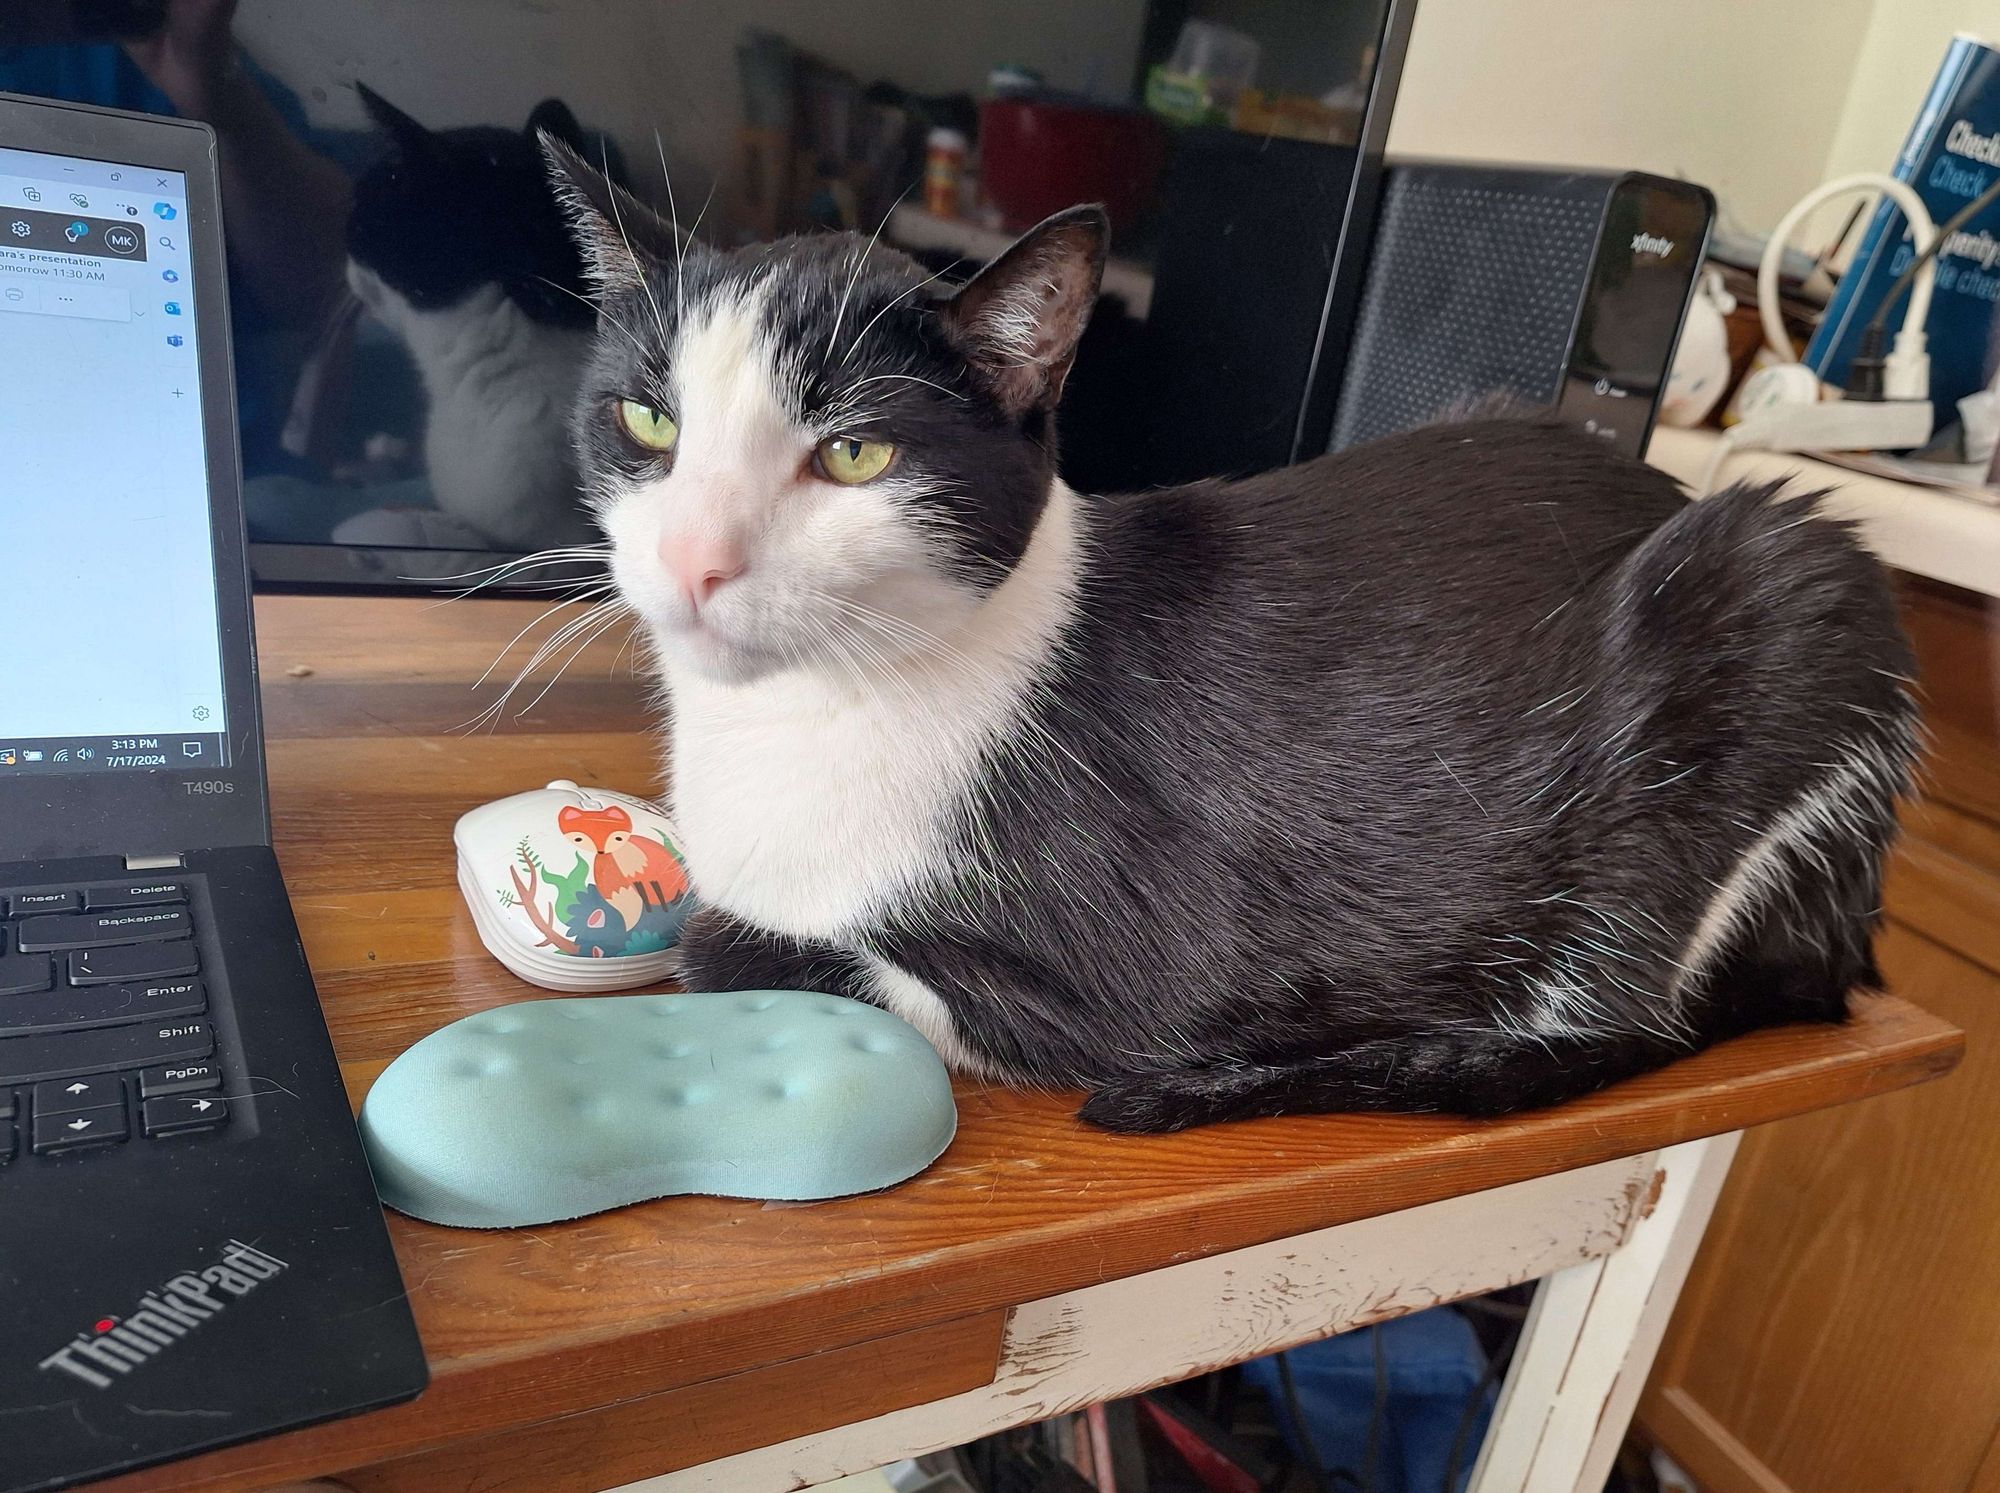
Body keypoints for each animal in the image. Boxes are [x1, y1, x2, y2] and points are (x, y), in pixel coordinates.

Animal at [540, 140, 1912, 1136]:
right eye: (648, 421)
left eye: (855, 453)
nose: (692, 558)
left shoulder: (1136, 985)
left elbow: (726, 941)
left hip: (1785, 580)